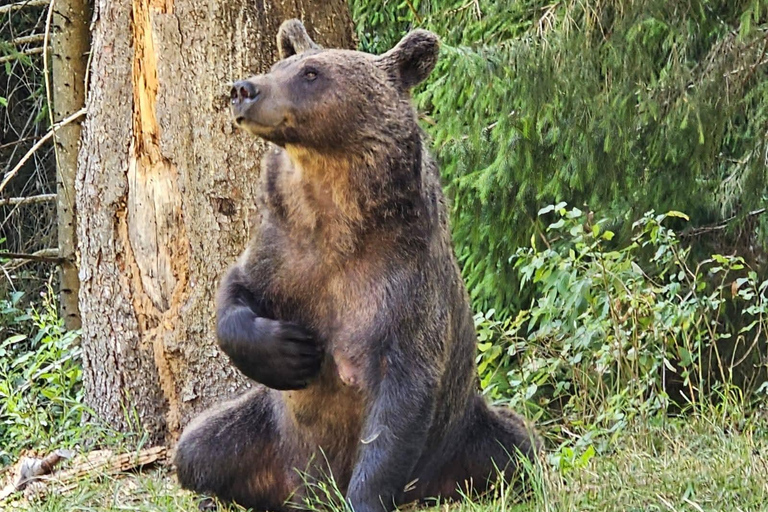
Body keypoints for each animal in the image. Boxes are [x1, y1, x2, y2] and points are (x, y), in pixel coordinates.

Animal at [174, 19, 540, 512]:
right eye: (279, 65)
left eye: (311, 72)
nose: (243, 89)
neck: (334, 212)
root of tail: (299, 491)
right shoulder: (284, 251)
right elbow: (236, 290)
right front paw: (291, 350)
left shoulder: (401, 283)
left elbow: (398, 403)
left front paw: (364, 495)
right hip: (263, 432)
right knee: (199, 446)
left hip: (462, 432)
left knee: (515, 446)